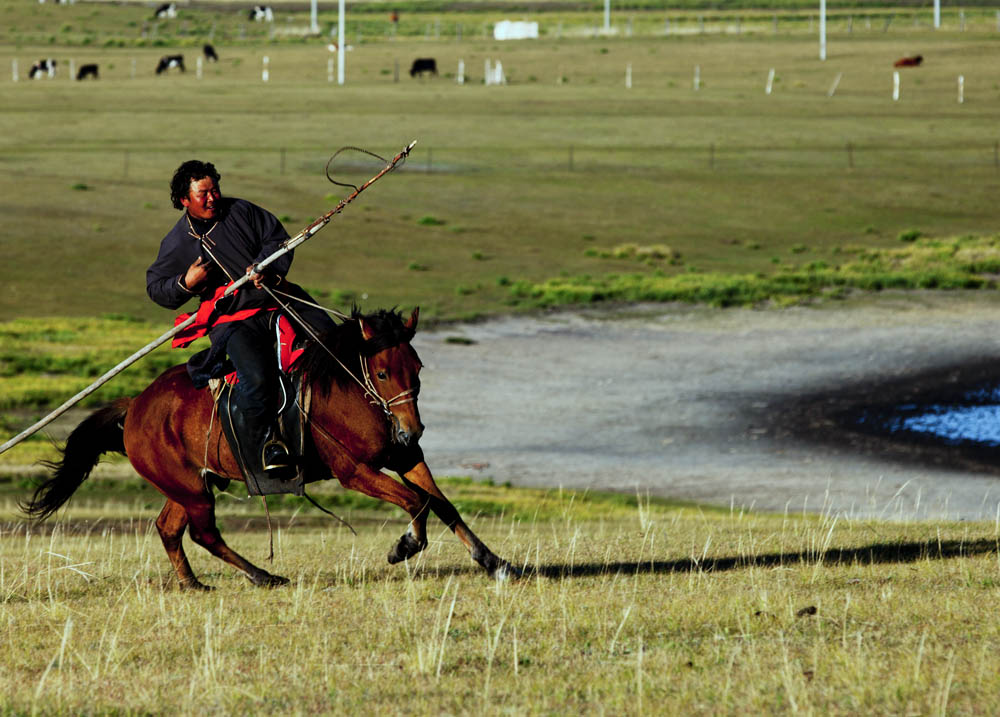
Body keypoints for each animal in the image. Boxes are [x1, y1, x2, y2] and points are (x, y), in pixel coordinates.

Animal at [22, 306, 516, 588]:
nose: (411, 429)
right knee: (203, 533)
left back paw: (193, 584)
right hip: (192, 490)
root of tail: (136, 404)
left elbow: (443, 503)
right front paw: (404, 546)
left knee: (169, 529)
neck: (347, 392)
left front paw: (495, 562)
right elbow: (418, 503)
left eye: (416, 367)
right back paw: (264, 576)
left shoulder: (406, 458)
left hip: (189, 485)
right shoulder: (355, 472)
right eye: (380, 372)